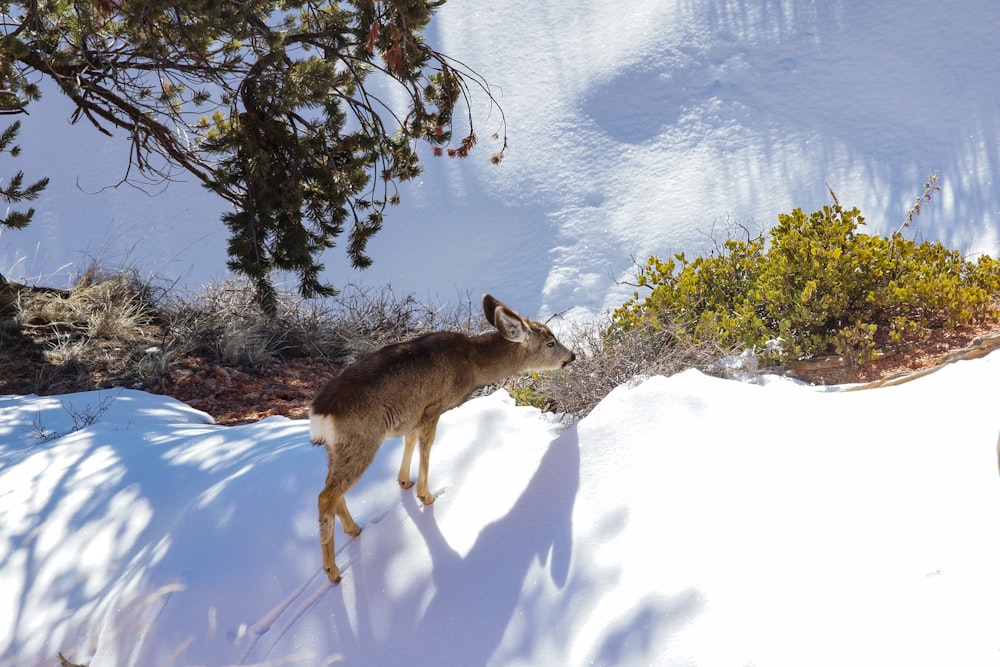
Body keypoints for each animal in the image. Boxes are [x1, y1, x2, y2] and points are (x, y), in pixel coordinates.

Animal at [308, 294, 576, 580]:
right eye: (550, 342)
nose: (571, 356)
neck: (473, 364)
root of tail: (320, 414)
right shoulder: (433, 407)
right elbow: (426, 448)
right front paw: (426, 496)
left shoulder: (413, 414)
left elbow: (409, 440)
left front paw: (405, 481)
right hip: (362, 441)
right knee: (325, 496)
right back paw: (332, 570)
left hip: (336, 449)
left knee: (331, 488)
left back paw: (354, 529)